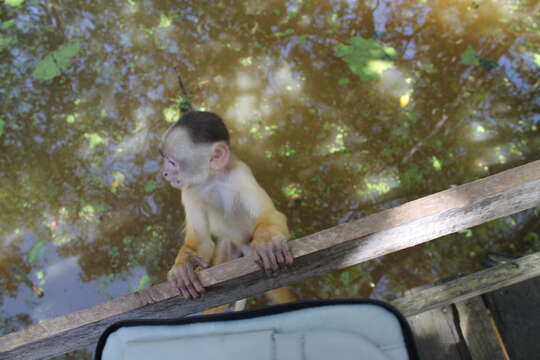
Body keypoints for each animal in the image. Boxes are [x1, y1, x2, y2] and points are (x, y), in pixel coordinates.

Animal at [160, 110, 296, 312]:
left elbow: (270, 215)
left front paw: (267, 242)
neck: (213, 178)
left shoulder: (240, 174)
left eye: (172, 162)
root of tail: (243, 246)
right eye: (166, 160)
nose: (165, 173)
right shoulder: (189, 191)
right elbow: (201, 241)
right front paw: (184, 265)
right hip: (228, 246)